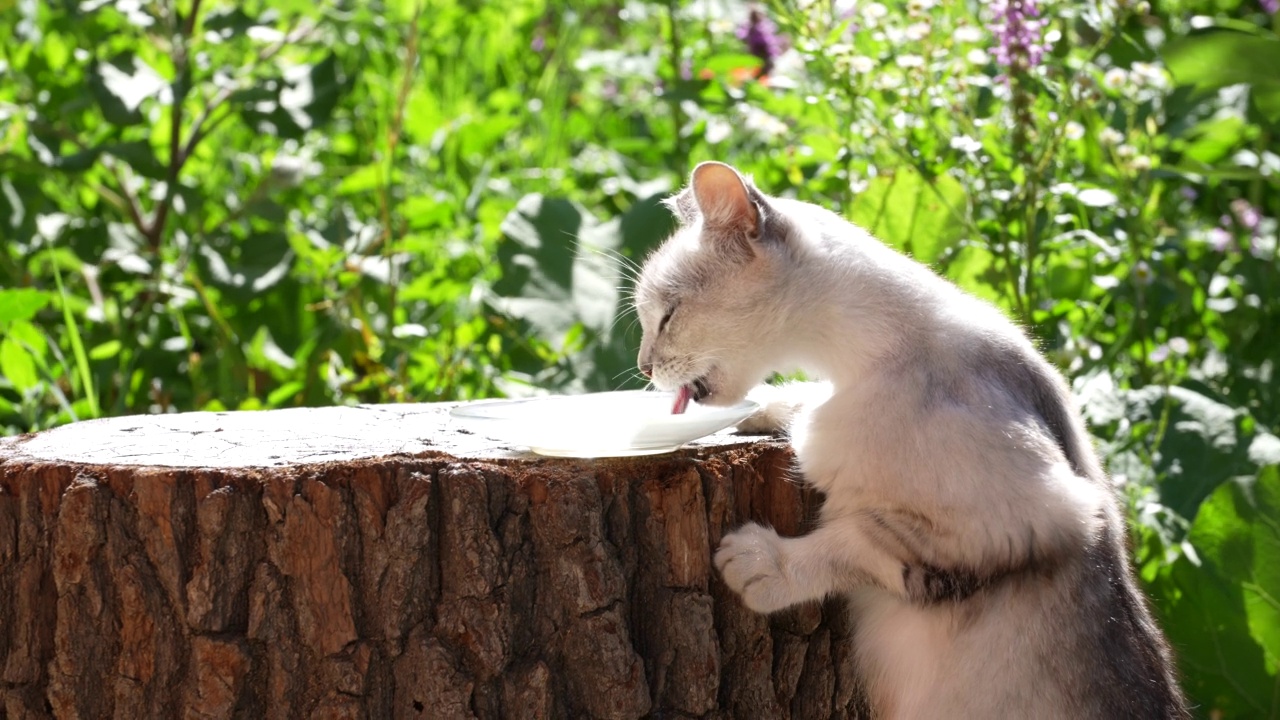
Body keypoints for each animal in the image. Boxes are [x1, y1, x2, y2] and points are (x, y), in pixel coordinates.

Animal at [637, 161, 1187, 717]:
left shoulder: (1042, 515)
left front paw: (765, 565)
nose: (644, 367)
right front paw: (764, 411)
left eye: (667, 316)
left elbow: (859, 540)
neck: (852, 367)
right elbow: (799, 408)